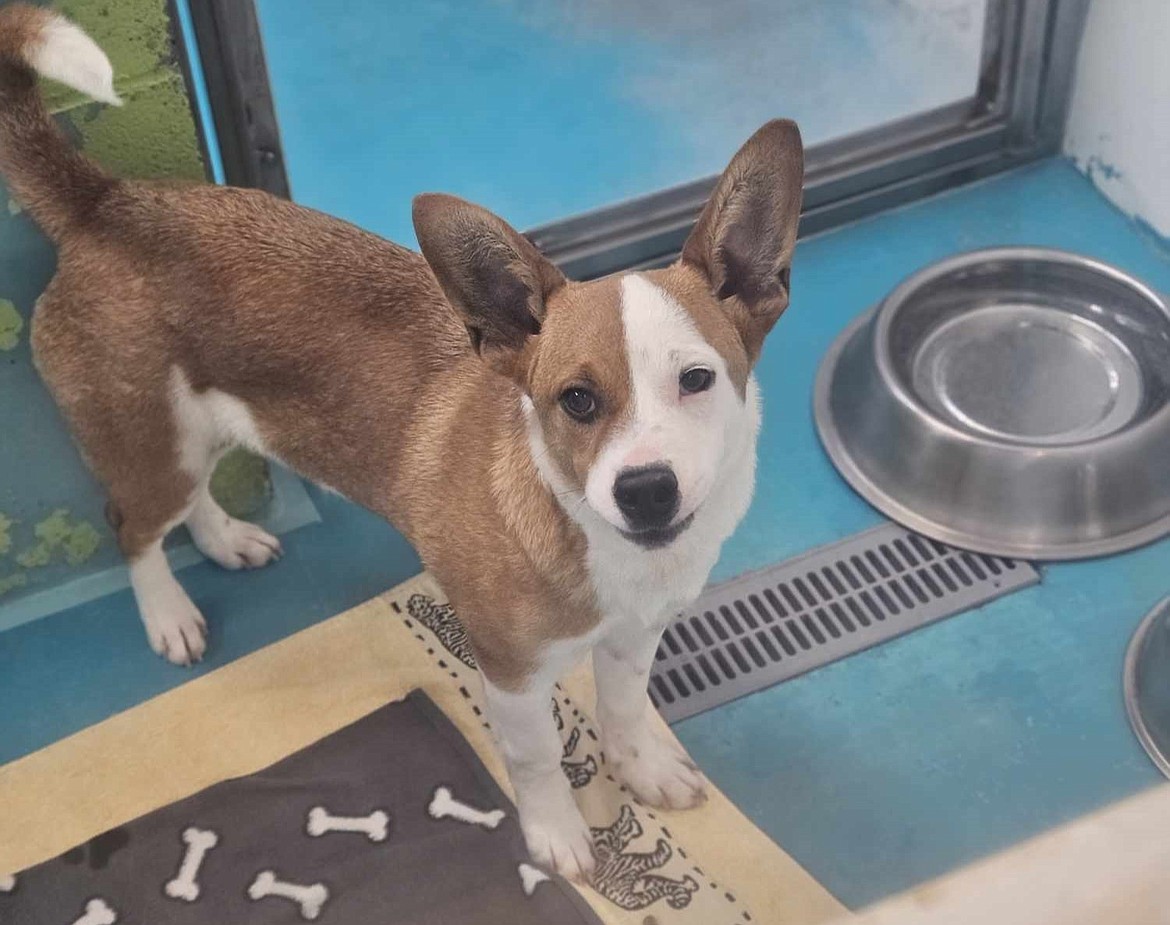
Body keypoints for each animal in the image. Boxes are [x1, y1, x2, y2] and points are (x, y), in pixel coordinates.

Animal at [0, 3, 800, 879]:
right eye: (577, 400)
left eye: (696, 379)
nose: (647, 490)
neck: (596, 538)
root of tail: (107, 201)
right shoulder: (511, 674)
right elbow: (536, 759)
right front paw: (556, 832)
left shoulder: (635, 636)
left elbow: (623, 710)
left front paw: (641, 767)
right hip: (148, 445)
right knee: (134, 528)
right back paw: (168, 614)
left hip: (189, 436)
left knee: (191, 499)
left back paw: (225, 539)